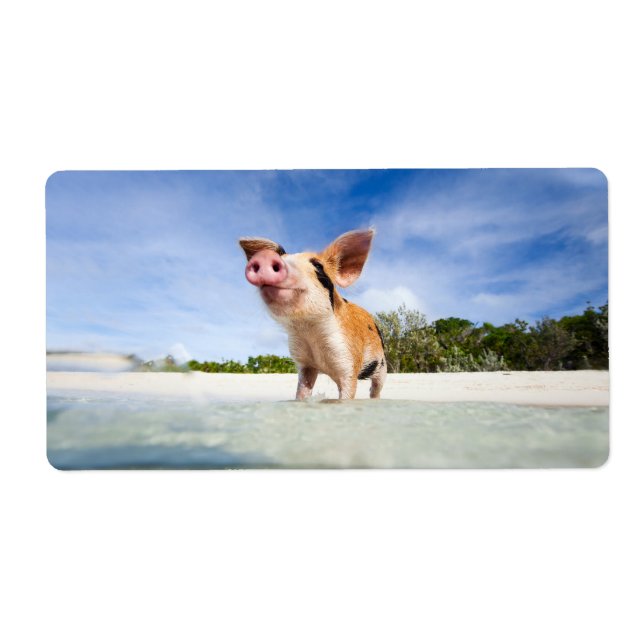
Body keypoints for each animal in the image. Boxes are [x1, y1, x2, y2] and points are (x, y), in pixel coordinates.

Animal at [239, 229, 387, 400]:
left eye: (318, 265)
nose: (265, 257)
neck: (310, 332)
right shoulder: (305, 364)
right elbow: (303, 390)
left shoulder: (349, 359)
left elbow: (347, 391)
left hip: (382, 364)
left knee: (376, 388)